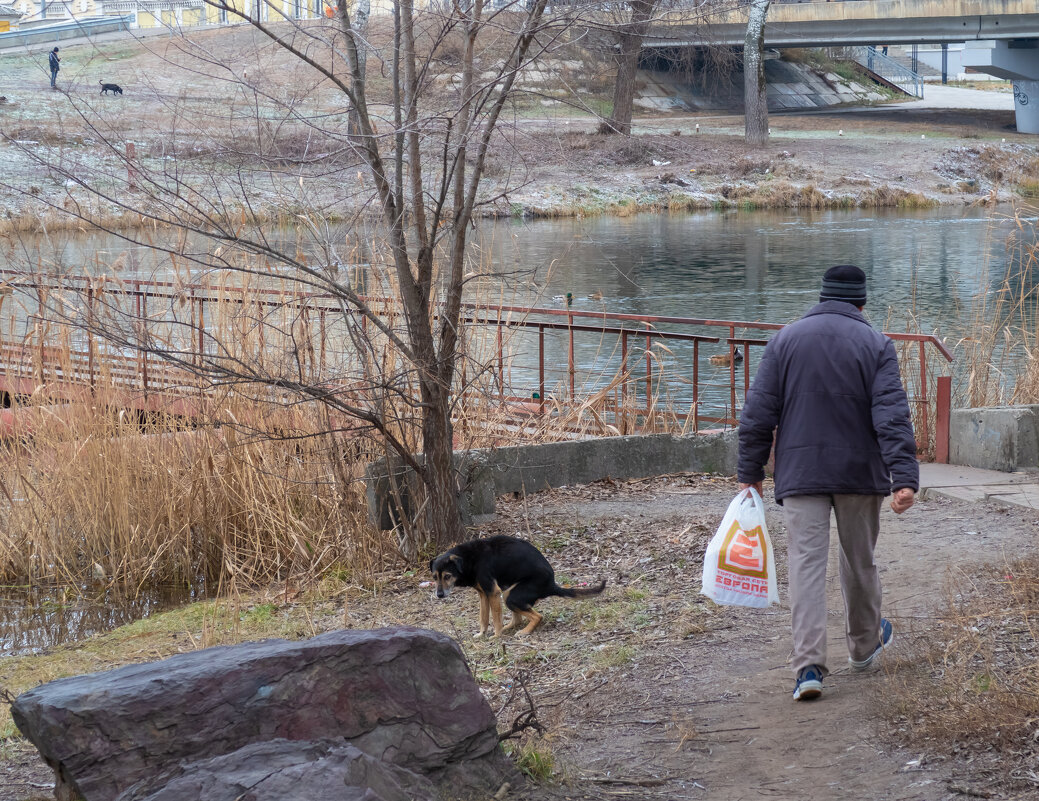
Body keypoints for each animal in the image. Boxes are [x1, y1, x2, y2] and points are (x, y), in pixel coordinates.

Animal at [430, 536, 606, 644]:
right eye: (434, 577)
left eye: (447, 576)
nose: (439, 595)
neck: (469, 559)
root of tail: (551, 584)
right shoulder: (484, 594)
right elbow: (483, 618)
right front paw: (482, 634)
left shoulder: (493, 592)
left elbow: (495, 619)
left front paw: (497, 636)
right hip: (508, 592)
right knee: (518, 619)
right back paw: (510, 627)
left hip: (511, 596)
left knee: (537, 616)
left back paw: (524, 632)